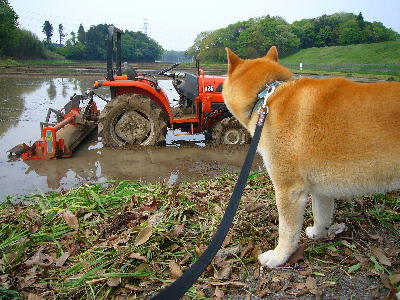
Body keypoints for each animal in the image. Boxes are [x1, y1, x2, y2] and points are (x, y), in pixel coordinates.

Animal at [222, 46, 400, 268]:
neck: (267, 96)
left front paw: (278, 257)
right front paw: (318, 234)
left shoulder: (288, 189)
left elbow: (287, 231)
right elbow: (321, 215)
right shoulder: (321, 188)